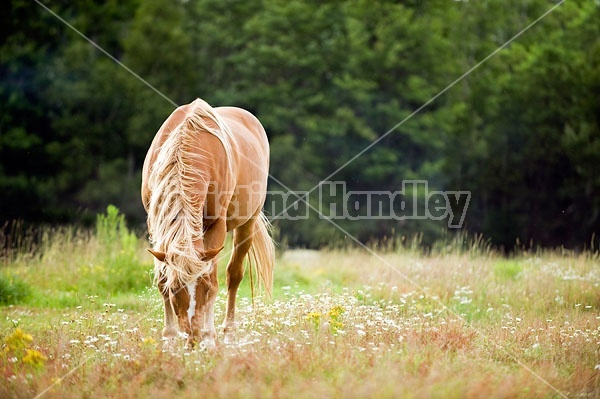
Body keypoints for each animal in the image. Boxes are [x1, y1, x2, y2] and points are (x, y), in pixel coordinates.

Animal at [141, 97, 274, 350]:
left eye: (203, 289)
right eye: (175, 289)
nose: (192, 337)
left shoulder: (216, 226)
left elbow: (214, 279)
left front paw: (209, 337)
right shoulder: (157, 225)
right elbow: (162, 278)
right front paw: (169, 339)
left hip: (247, 224)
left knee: (234, 275)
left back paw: (228, 333)